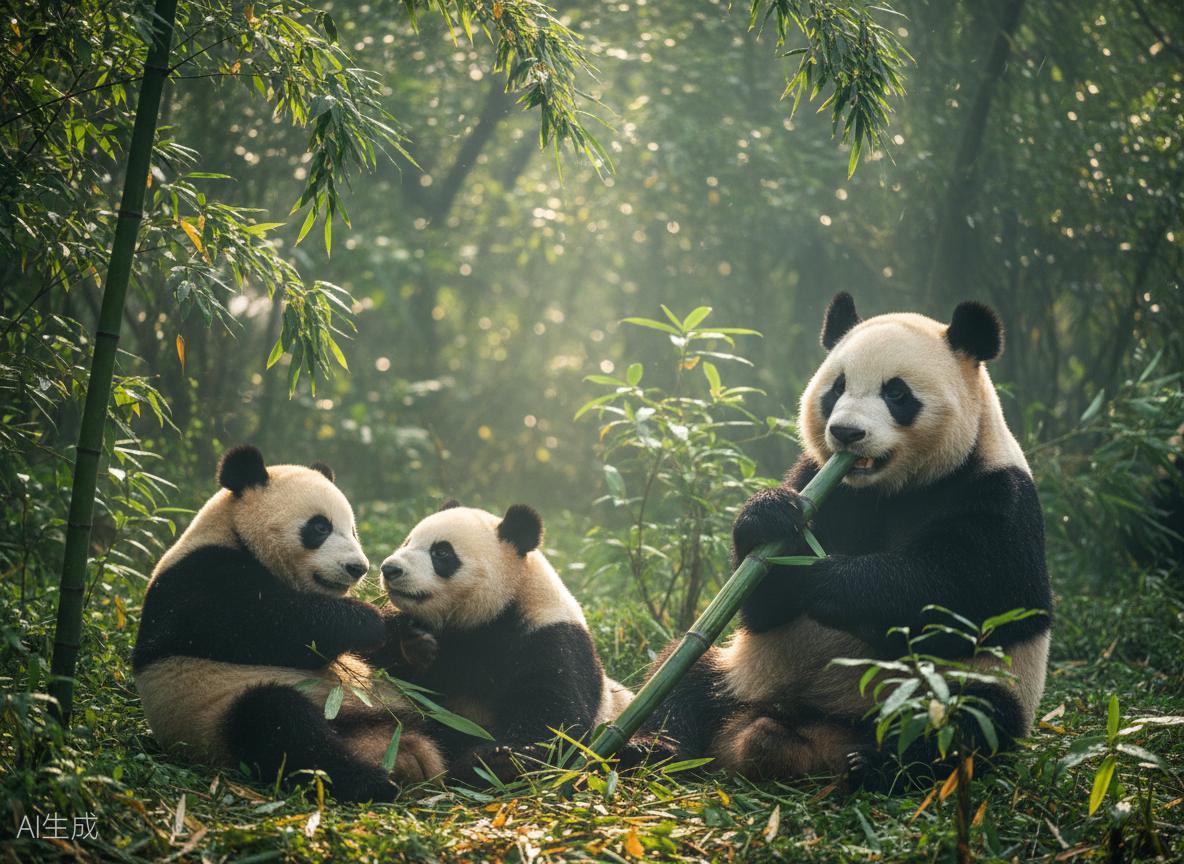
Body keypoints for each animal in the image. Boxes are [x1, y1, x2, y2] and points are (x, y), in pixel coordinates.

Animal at [132, 445, 445, 802]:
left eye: (352, 530)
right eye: (320, 527)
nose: (358, 568)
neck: (233, 533)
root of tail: (403, 750)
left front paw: (414, 640)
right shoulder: (197, 580)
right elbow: (265, 627)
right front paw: (368, 620)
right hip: (216, 715)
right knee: (280, 725)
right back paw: (370, 782)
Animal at [373, 501, 634, 781]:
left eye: (441, 553)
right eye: (407, 541)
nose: (390, 568)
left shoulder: (550, 639)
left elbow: (557, 721)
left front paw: (494, 759)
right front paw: (414, 646)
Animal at [639, 294, 1052, 787]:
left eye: (897, 393)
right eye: (836, 388)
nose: (846, 433)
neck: (891, 488)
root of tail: (812, 735)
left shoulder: (995, 492)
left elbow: (977, 595)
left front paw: (832, 582)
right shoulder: (822, 484)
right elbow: (763, 605)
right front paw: (769, 517)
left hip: (965, 689)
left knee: (966, 723)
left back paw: (877, 763)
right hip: (745, 671)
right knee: (684, 685)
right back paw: (655, 747)